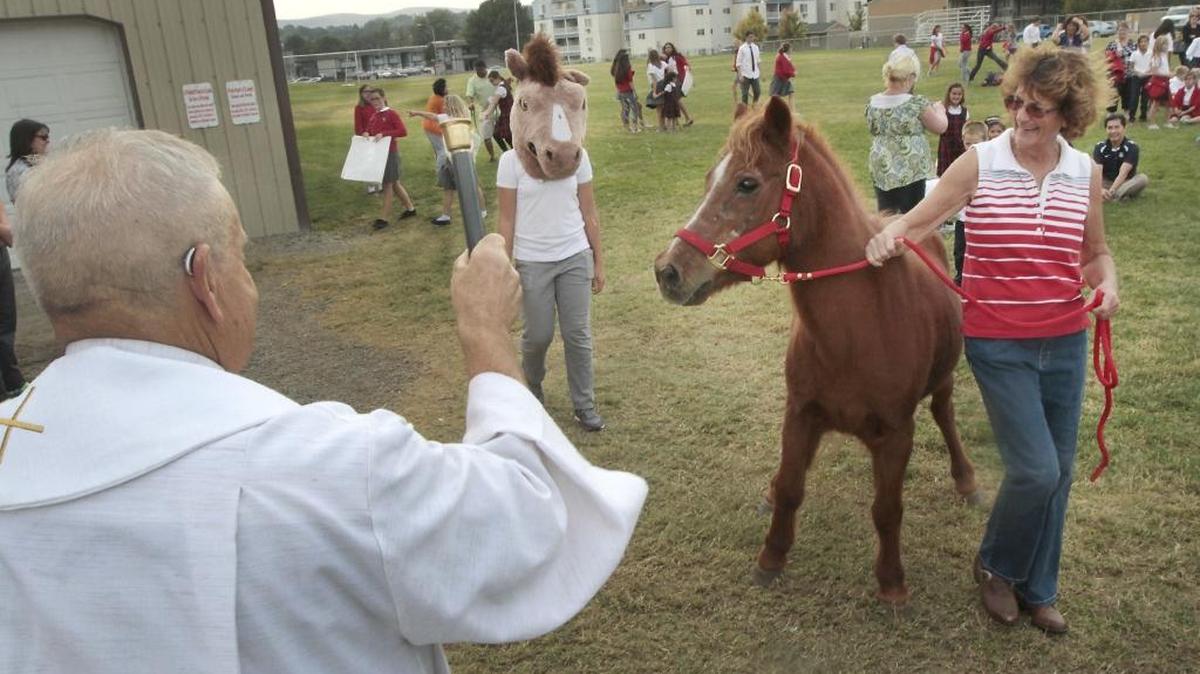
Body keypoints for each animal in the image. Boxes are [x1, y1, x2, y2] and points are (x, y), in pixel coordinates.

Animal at [652, 97, 980, 605]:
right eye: (710, 179)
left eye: (747, 183)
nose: (668, 271)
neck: (857, 330)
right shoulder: (800, 413)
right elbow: (790, 488)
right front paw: (771, 557)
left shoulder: (896, 433)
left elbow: (887, 509)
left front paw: (892, 581)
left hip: (942, 382)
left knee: (945, 414)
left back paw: (965, 479)